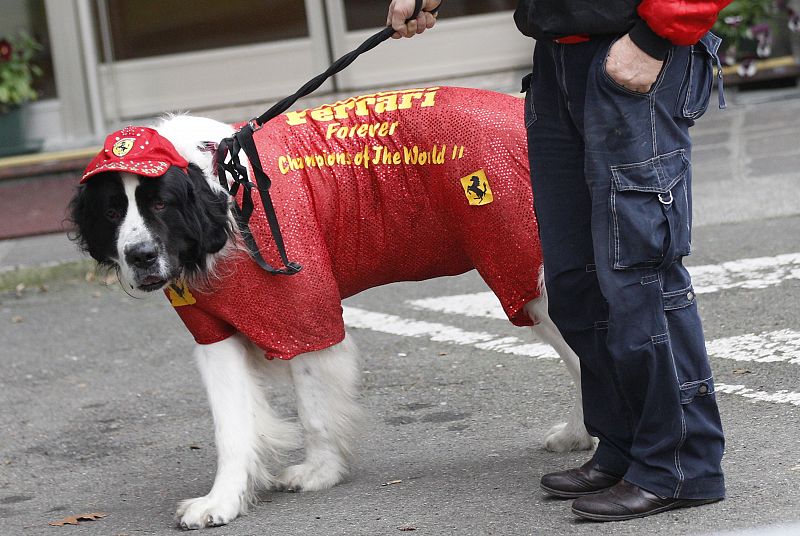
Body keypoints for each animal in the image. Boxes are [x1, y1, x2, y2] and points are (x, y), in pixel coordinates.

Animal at [70, 87, 592, 528]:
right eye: (113, 212)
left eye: (160, 204)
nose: (139, 255)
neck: (225, 199)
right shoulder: (214, 333)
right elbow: (231, 425)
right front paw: (222, 500)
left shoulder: (306, 311)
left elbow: (314, 408)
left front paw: (319, 471)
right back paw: (580, 435)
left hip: (526, 270)